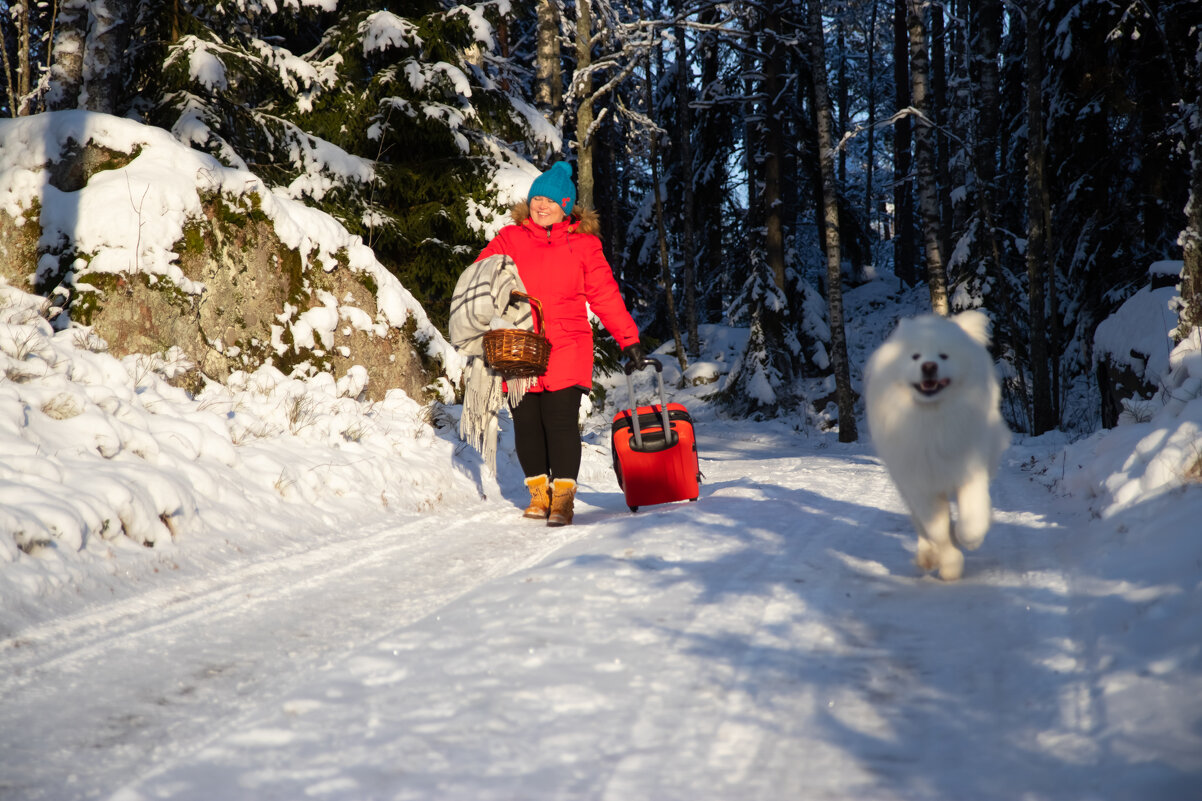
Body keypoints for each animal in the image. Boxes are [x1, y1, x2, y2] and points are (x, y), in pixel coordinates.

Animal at [870, 307, 1009, 577]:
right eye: (915, 357)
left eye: (944, 356)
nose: (929, 366)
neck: (932, 419)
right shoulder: (919, 484)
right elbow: (937, 530)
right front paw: (950, 564)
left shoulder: (969, 467)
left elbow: (972, 512)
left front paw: (969, 538)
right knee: (921, 527)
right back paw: (927, 557)